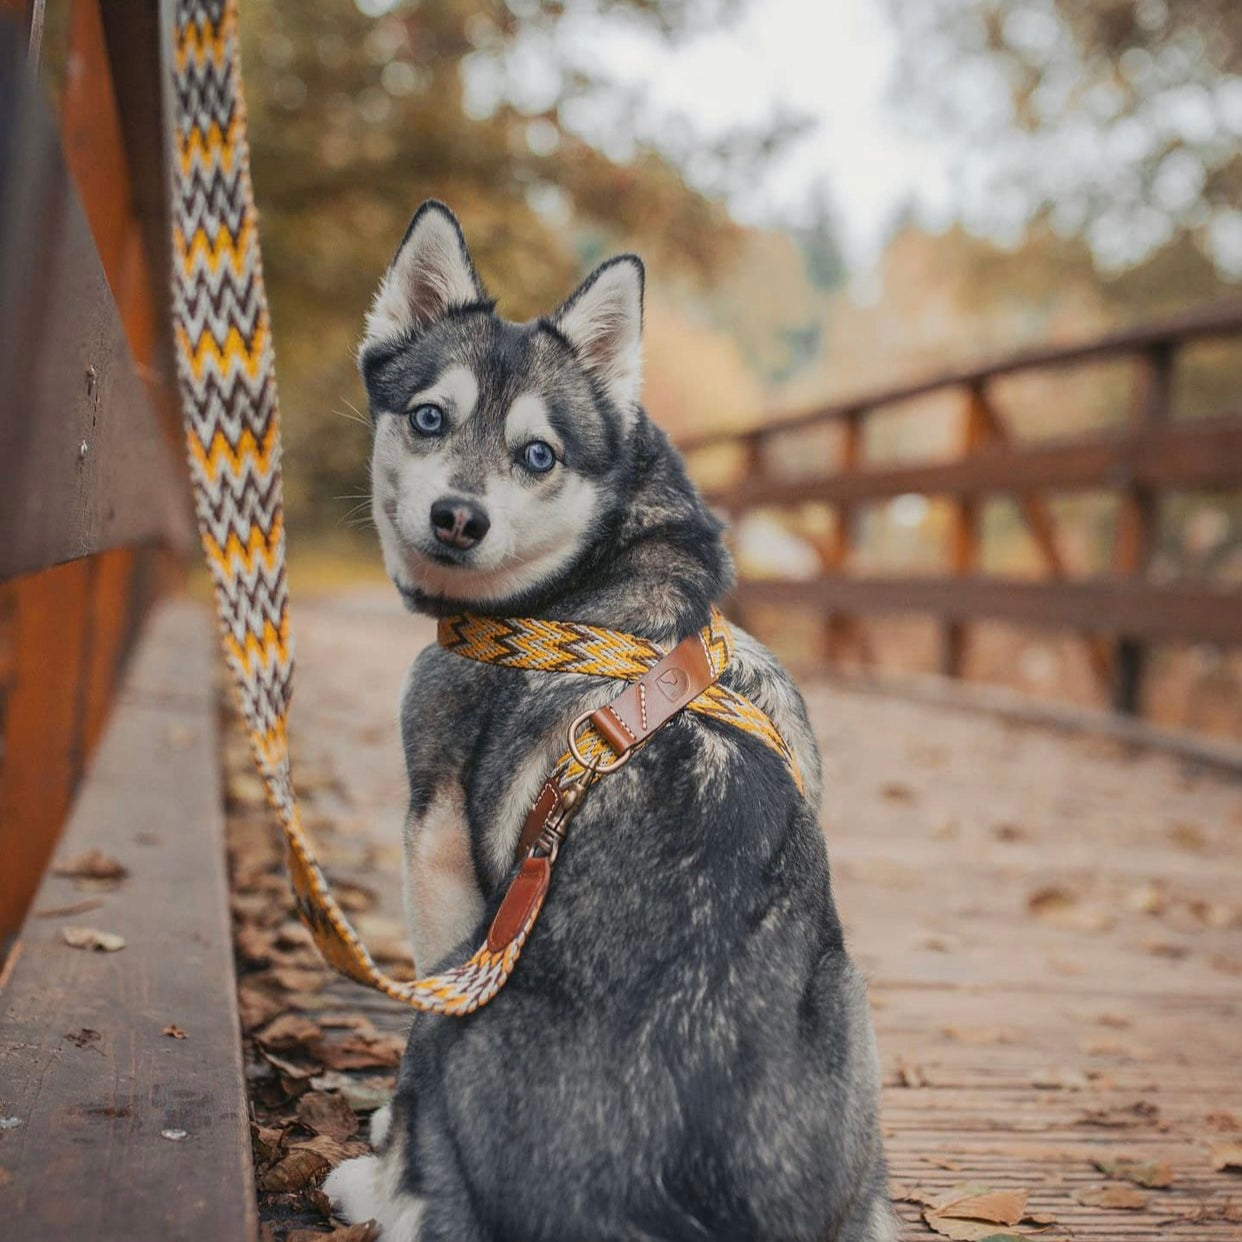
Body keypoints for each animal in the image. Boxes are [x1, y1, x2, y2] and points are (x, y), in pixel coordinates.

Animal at [325, 198, 894, 1237]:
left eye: (537, 454)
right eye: (428, 419)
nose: (458, 517)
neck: (607, 572)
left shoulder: (435, 842)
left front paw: (380, 1143)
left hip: (465, 997)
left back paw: (364, 1181)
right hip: (850, 1009)